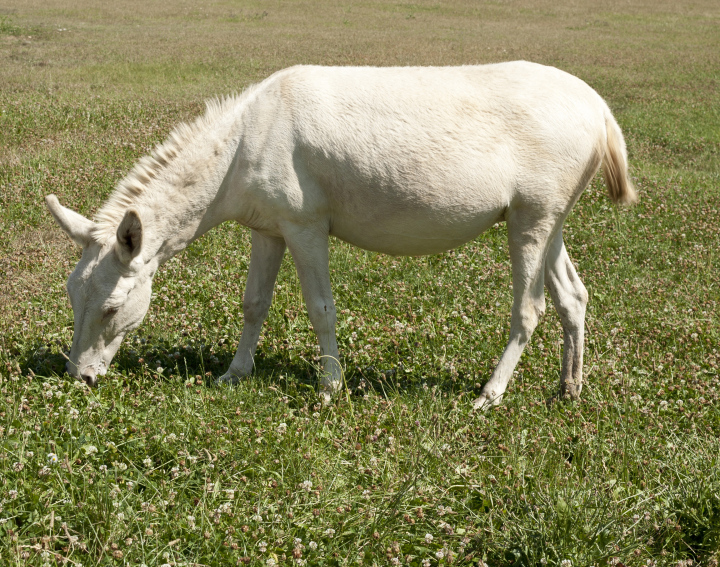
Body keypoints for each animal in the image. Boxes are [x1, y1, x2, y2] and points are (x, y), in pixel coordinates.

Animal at [45, 62, 632, 408]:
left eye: (112, 307)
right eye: (73, 296)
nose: (80, 379)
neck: (242, 146)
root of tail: (599, 108)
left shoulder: (306, 227)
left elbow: (320, 307)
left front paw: (330, 388)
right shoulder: (268, 229)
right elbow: (254, 304)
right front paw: (234, 374)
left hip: (531, 222)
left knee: (529, 308)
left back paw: (491, 393)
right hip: (542, 219)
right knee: (573, 296)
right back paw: (570, 389)